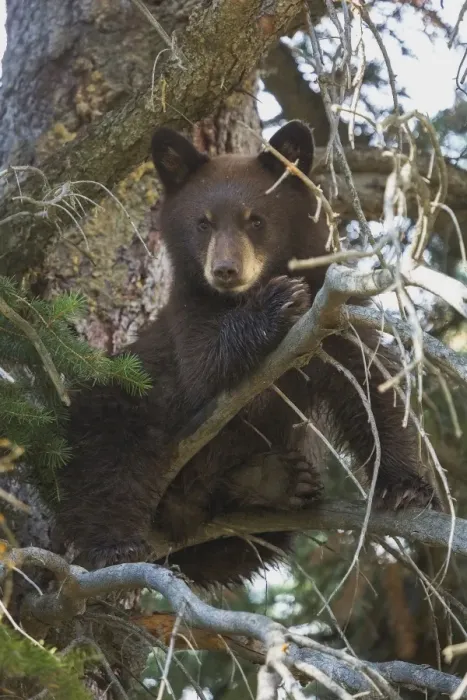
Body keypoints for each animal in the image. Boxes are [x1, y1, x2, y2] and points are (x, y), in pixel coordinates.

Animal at [53, 121, 438, 587]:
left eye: (256, 219)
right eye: (203, 222)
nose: (225, 270)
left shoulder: (334, 315)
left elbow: (371, 385)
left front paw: (406, 486)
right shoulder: (186, 316)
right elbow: (203, 364)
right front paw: (275, 303)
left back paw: (274, 481)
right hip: (117, 396)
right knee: (104, 454)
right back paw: (114, 544)